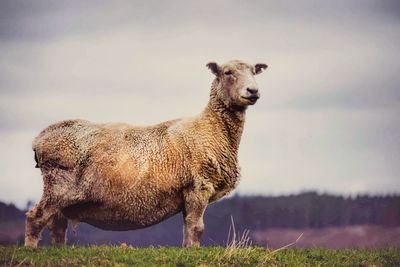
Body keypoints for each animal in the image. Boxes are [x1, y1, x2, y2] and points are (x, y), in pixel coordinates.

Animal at [25, 59, 268, 248]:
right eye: (228, 72)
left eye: (253, 72)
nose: (253, 91)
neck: (212, 128)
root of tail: (39, 138)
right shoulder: (199, 185)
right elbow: (197, 227)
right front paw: (194, 250)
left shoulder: (187, 193)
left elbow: (188, 227)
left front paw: (187, 249)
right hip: (59, 185)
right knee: (36, 217)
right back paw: (31, 249)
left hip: (61, 194)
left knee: (57, 224)